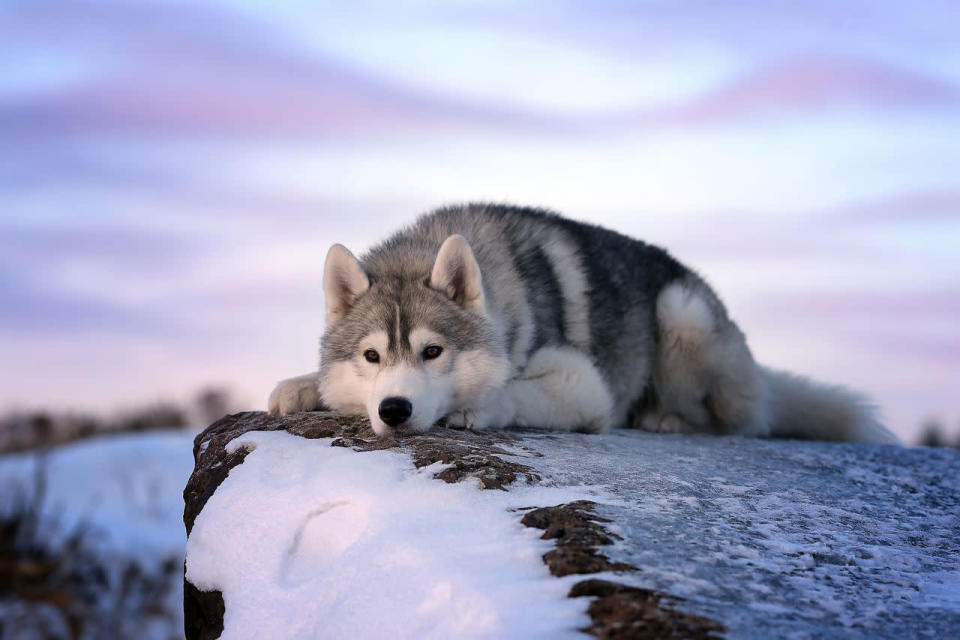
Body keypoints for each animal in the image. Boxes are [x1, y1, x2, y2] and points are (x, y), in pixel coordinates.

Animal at [268, 205, 900, 444]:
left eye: (432, 352)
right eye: (372, 357)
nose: (394, 410)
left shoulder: (583, 385)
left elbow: (511, 393)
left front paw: (477, 408)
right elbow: (319, 382)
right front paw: (299, 387)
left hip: (683, 313)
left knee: (742, 423)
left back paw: (662, 417)